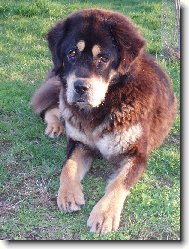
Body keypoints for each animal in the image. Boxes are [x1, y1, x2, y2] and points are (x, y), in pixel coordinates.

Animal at [31, 9, 177, 235]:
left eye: (103, 58)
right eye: (72, 53)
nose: (80, 87)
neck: (106, 105)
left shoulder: (136, 154)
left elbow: (119, 183)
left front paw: (105, 213)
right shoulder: (79, 142)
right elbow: (68, 166)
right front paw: (68, 194)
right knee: (52, 107)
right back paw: (55, 125)